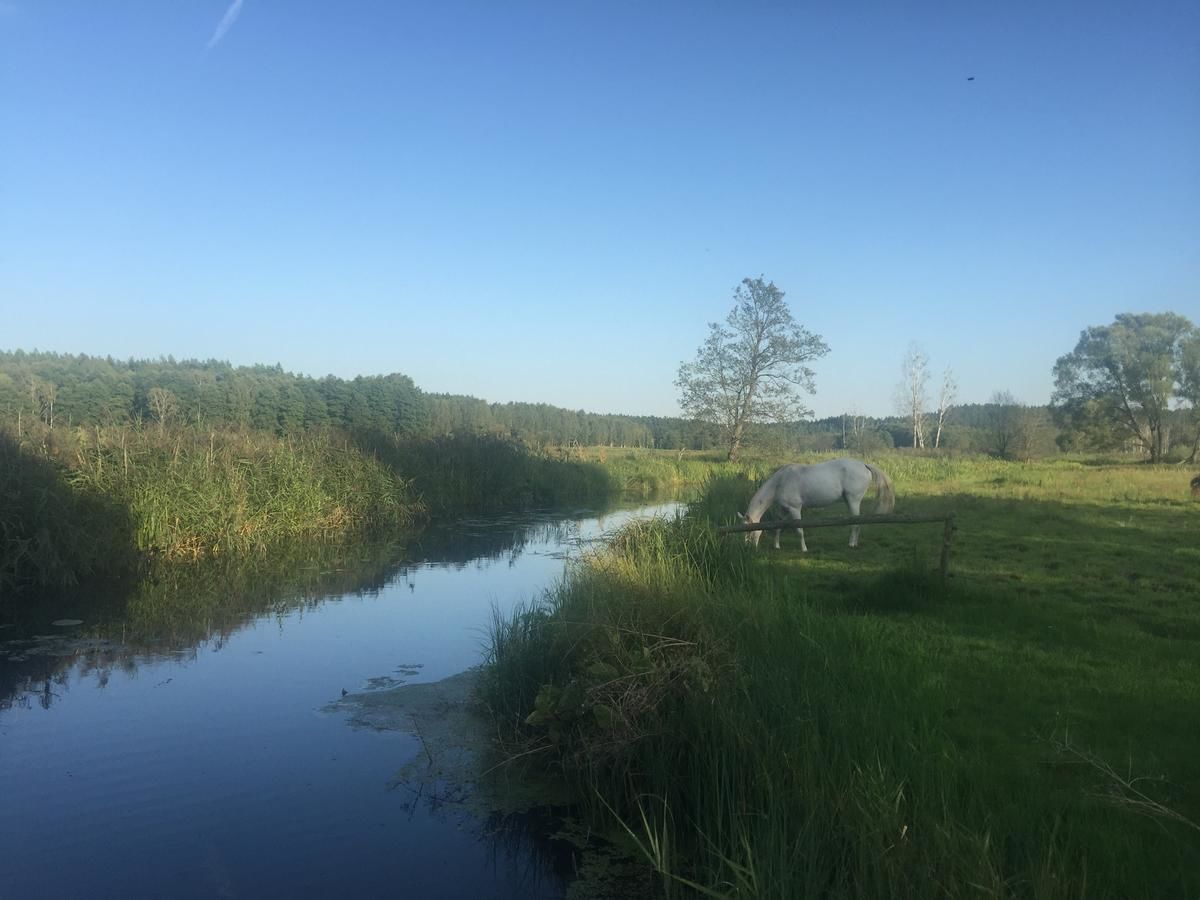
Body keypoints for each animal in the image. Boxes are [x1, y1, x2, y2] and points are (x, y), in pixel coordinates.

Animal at [734, 460, 897, 554]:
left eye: (749, 531)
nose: (747, 549)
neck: (780, 482)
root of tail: (864, 465)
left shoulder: (795, 509)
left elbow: (799, 530)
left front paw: (804, 549)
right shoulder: (784, 510)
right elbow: (778, 527)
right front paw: (777, 546)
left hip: (853, 500)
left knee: (855, 523)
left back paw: (851, 544)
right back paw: (854, 543)